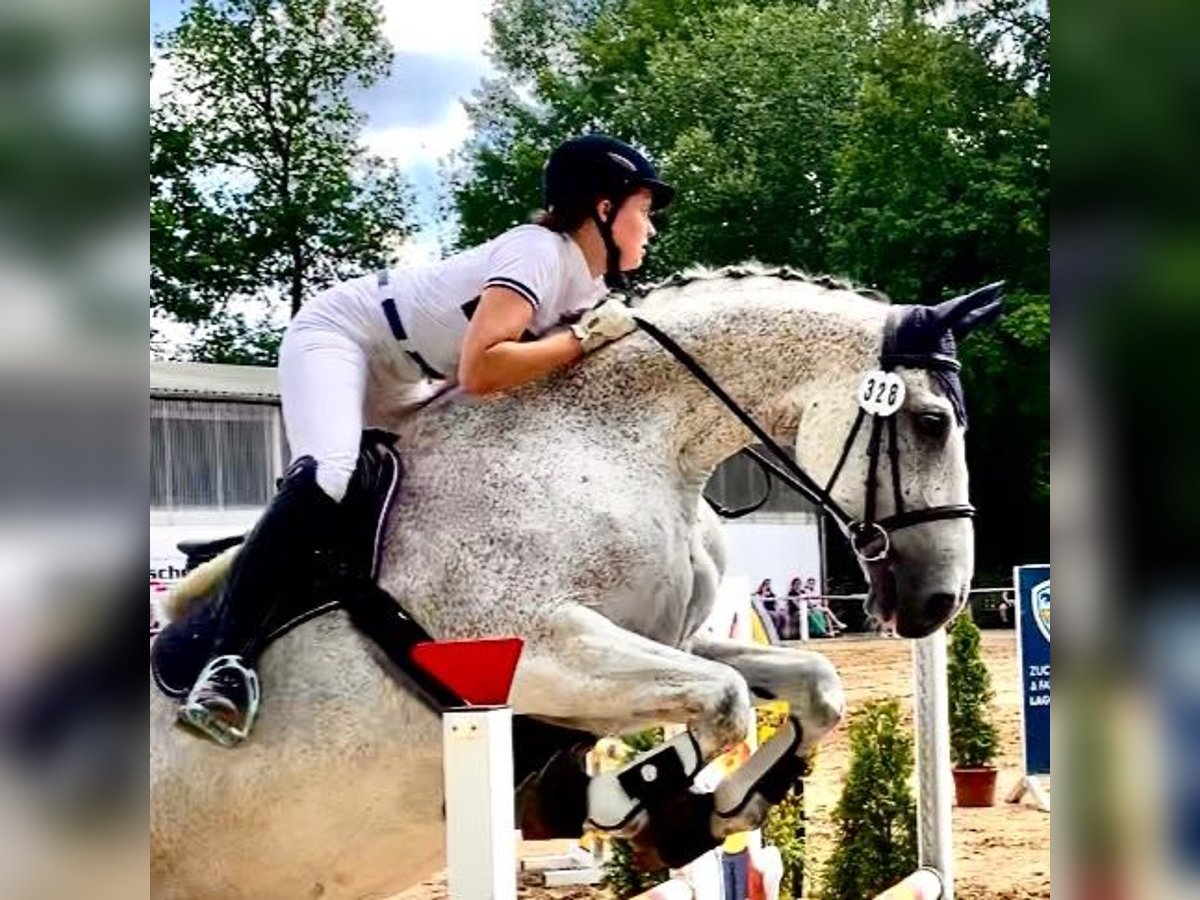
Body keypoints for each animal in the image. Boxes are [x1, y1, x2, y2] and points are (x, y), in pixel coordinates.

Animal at [150, 267, 998, 900]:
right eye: (931, 423)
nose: (938, 602)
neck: (622, 443)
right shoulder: (533, 653)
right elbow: (723, 702)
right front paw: (630, 802)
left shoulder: (668, 636)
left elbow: (812, 683)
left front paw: (723, 805)